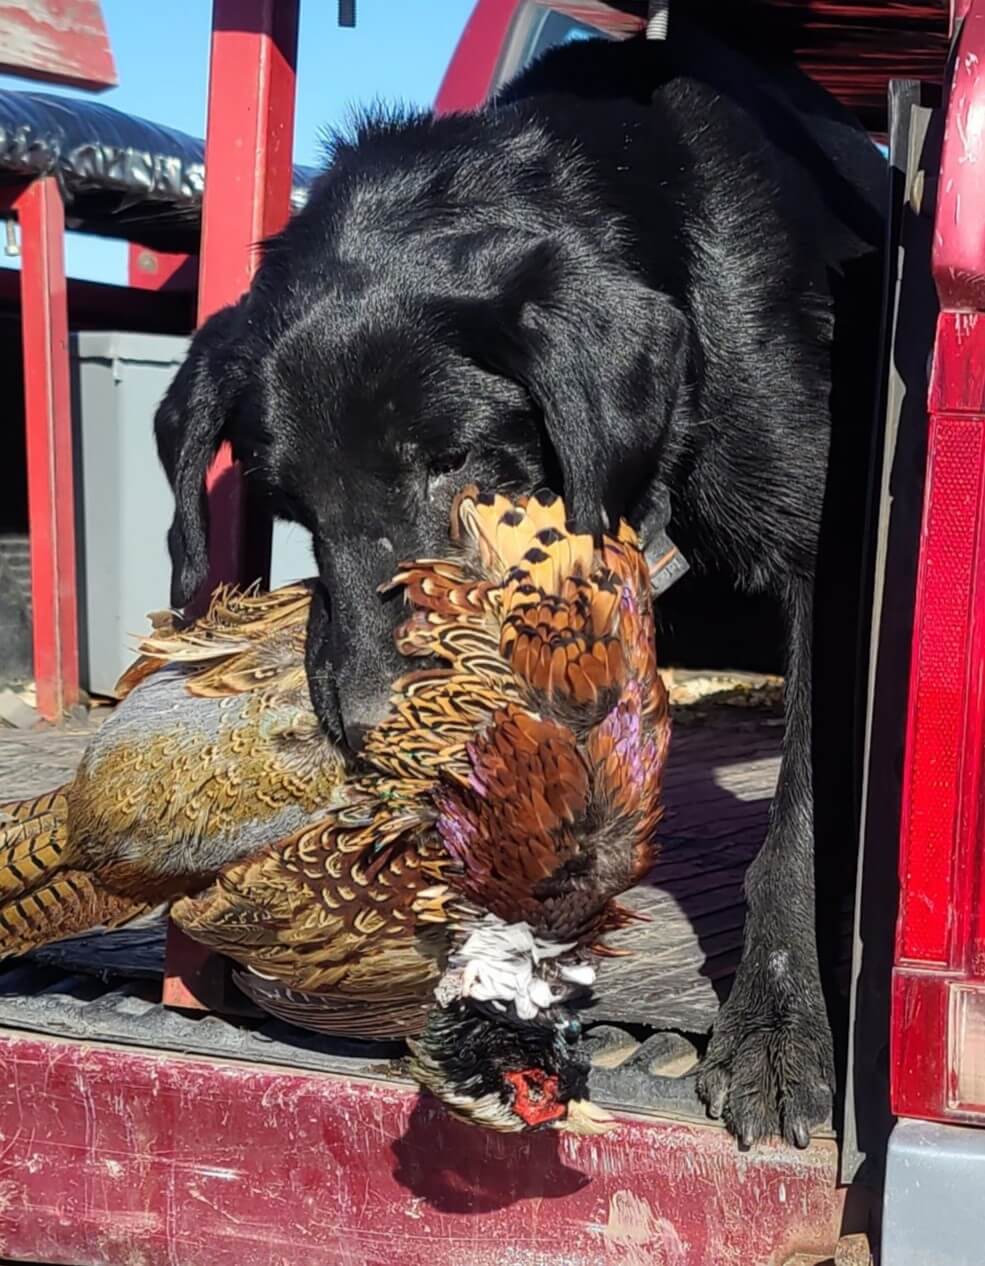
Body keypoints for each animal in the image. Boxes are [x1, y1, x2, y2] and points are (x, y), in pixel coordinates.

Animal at [153, 19, 881, 1149]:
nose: (370, 733)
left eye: (454, 460)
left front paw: (774, 1024)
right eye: (287, 503)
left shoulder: (816, 561)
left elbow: (800, 810)